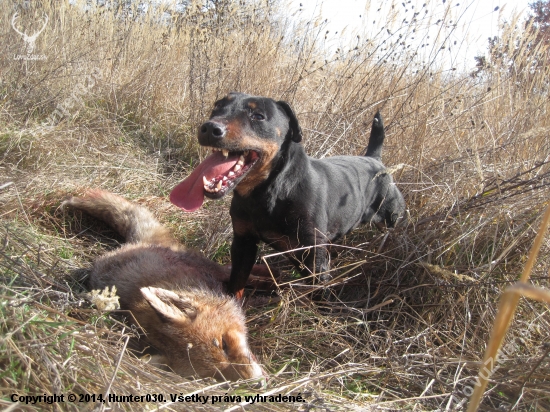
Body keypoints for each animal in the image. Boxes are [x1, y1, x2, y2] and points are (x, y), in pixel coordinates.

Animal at [62, 192, 266, 382]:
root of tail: (133, 243)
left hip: (204, 264)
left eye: (224, 344)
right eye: (215, 375)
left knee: (229, 270)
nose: (257, 384)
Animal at [170, 91, 408, 298]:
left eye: (258, 116)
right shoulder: (243, 244)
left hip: (391, 218)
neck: (267, 192)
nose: (209, 128)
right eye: (217, 107)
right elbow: (236, 284)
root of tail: (375, 160)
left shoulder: (314, 260)